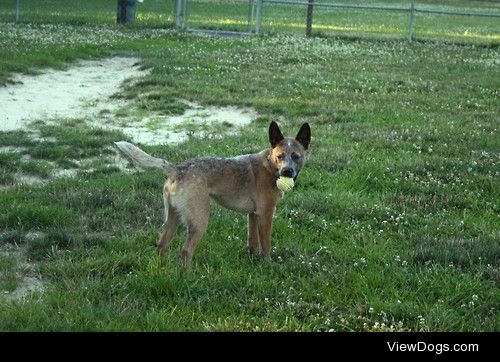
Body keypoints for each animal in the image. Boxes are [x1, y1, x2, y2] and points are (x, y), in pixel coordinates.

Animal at [115, 121, 310, 266]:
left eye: (296, 156)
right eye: (280, 156)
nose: (287, 172)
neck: (269, 166)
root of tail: (177, 169)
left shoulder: (253, 215)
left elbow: (253, 241)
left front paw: (253, 261)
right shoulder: (266, 213)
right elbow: (266, 244)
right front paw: (267, 264)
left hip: (173, 218)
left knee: (161, 246)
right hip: (200, 220)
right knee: (185, 251)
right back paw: (187, 278)